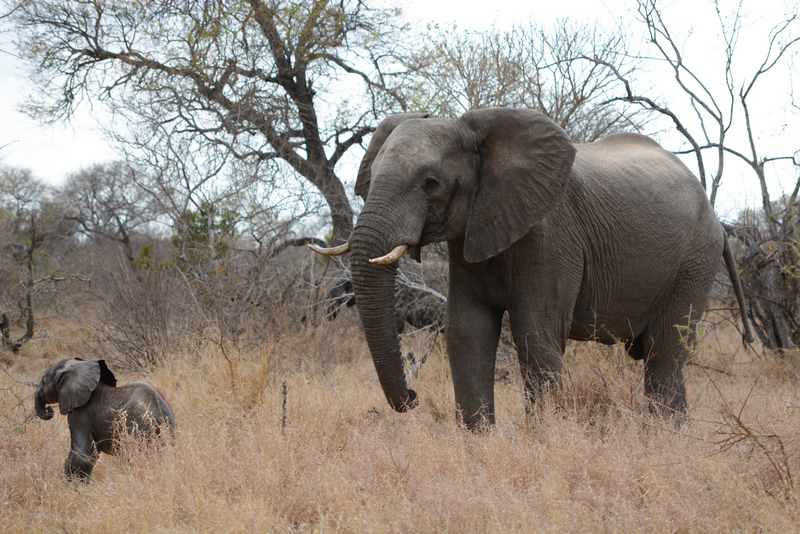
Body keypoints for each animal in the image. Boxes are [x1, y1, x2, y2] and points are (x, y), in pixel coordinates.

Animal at [34, 358, 175, 481]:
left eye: (43, 382)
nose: (48, 409)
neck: (81, 365)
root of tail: (160, 415)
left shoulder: (80, 414)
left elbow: (83, 455)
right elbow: (91, 455)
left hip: (136, 428)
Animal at [310, 107, 754, 429]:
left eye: (431, 183)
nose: (415, 399)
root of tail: (717, 221)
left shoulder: (551, 236)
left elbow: (535, 334)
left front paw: (545, 442)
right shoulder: (469, 237)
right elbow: (467, 331)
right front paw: (481, 446)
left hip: (694, 260)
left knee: (664, 354)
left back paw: (667, 440)